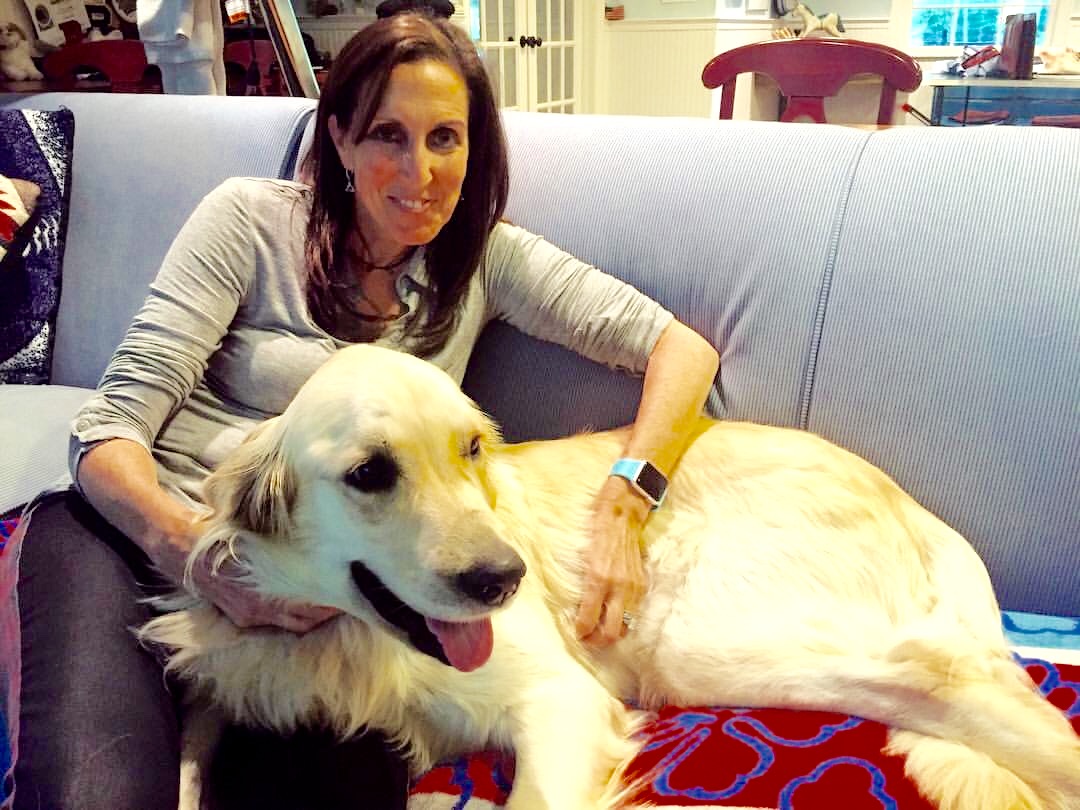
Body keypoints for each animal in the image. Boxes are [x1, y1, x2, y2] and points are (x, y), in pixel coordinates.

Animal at [140, 343, 1080, 810]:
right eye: (370, 472)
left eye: (471, 448)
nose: (505, 578)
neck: (348, 642)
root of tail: (912, 503)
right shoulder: (227, 683)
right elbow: (183, 771)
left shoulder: (561, 697)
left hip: (703, 641)